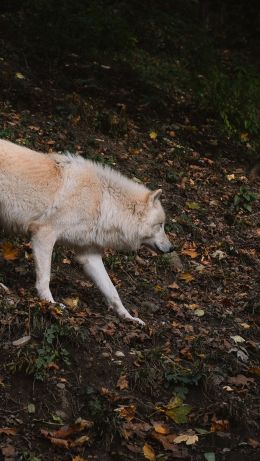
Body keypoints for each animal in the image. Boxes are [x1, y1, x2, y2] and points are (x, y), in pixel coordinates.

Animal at [0, 139, 173, 324]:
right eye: (160, 225)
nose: (172, 248)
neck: (103, 202)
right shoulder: (43, 234)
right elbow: (45, 278)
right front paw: (50, 304)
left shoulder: (89, 254)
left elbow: (112, 291)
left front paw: (129, 317)